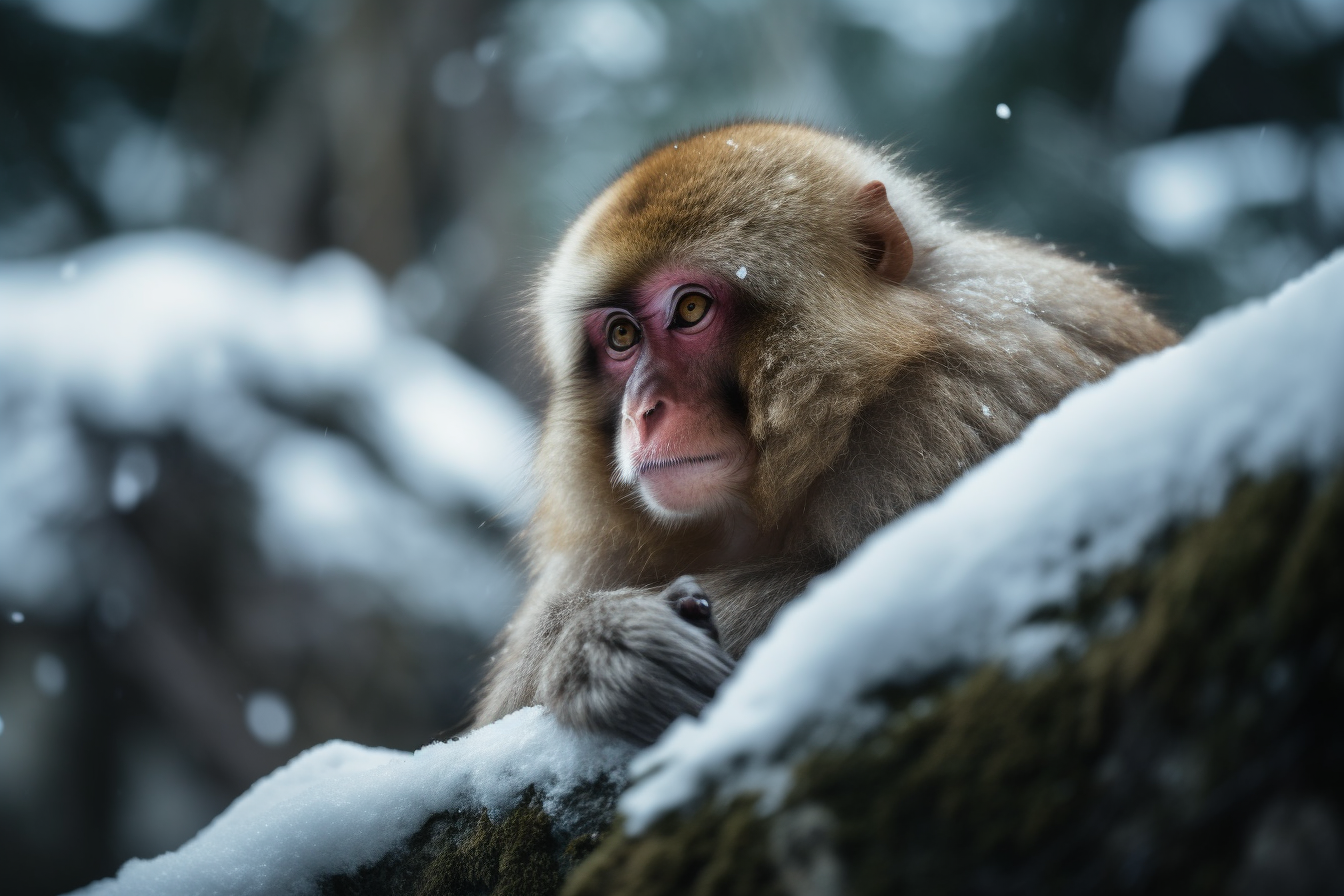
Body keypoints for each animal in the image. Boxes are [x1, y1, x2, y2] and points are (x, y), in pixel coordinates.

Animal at [475, 122, 1177, 746]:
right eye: (621, 335)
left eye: (692, 308)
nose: (643, 410)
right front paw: (600, 642)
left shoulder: (952, 413)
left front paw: (605, 640)